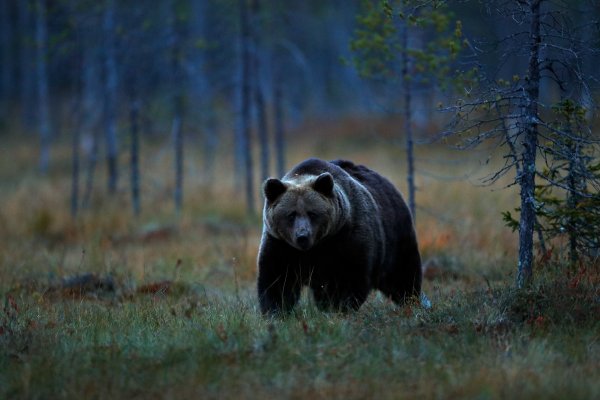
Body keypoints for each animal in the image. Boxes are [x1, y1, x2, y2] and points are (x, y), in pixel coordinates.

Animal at [256, 158, 422, 314]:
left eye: (312, 213)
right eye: (291, 214)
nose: (303, 236)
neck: (313, 249)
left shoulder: (345, 239)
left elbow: (349, 278)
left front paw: (339, 307)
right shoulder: (281, 246)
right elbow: (277, 280)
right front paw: (276, 311)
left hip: (395, 239)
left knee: (403, 275)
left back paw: (411, 301)